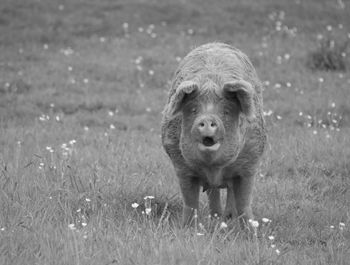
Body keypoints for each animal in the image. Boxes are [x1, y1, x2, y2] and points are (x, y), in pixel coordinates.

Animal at [161, 42, 266, 226]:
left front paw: (251, 231)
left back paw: (227, 218)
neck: (213, 169)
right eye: (193, 110)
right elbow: (190, 201)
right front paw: (187, 227)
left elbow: (244, 201)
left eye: (226, 111)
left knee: (230, 192)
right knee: (213, 193)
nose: (207, 119)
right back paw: (216, 218)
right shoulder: (181, 166)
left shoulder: (250, 163)